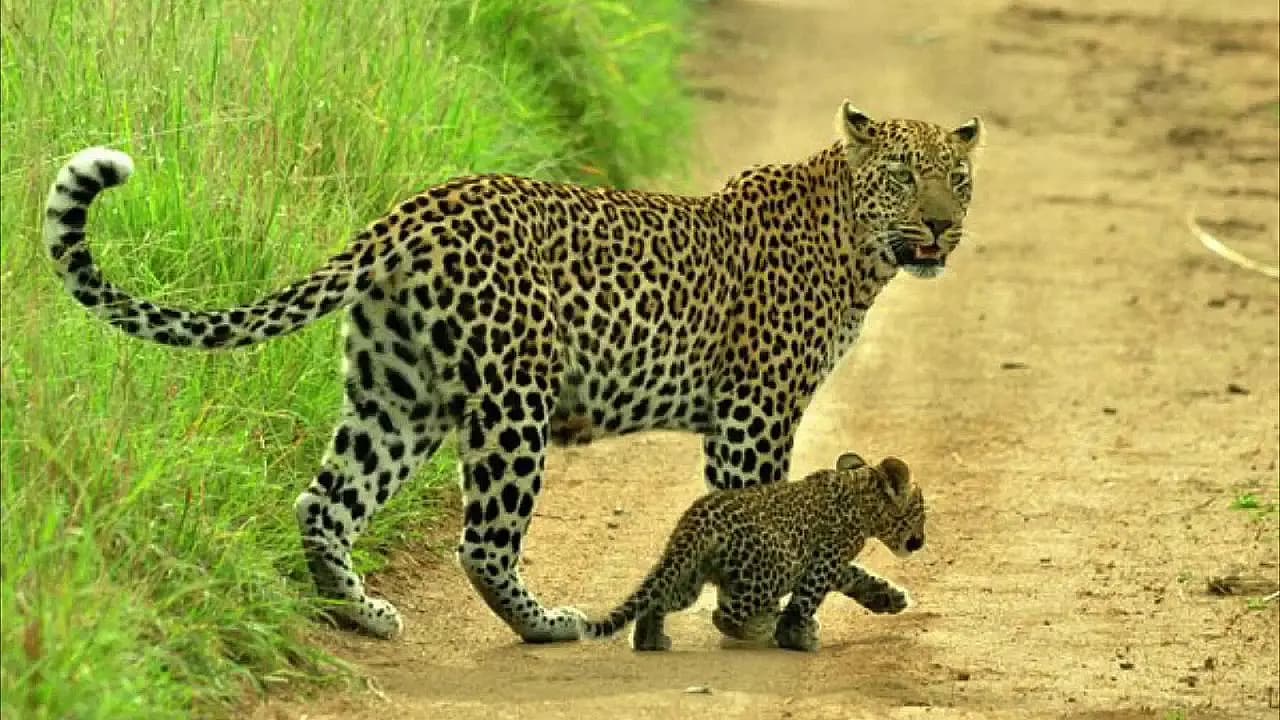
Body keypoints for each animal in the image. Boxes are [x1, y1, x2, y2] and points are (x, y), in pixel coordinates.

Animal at [40, 101, 977, 638]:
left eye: (957, 179)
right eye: (904, 176)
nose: (941, 228)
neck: (856, 247)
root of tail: (410, 211)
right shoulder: (754, 412)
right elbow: (768, 511)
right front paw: (785, 610)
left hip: (398, 397)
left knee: (325, 501)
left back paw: (361, 615)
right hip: (512, 399)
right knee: (482, 540)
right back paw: (546, 623)